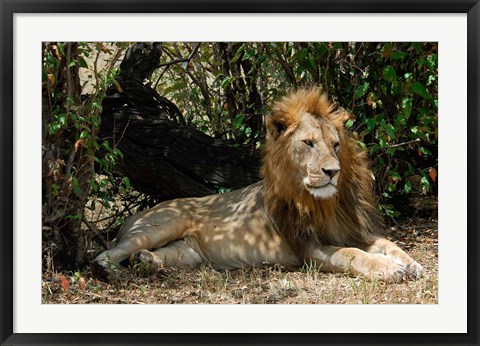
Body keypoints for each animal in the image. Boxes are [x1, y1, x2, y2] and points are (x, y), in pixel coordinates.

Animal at [93, 86, 424, 282]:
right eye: (308, 143)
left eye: (336, 144)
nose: (332, 171)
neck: (326, 204)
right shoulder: (308, 247)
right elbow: (351, 254)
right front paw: (388, 268)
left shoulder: (355, 230)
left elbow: (388, 244)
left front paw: (411, 264)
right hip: (161, 224)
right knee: (115, 248)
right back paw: (106, 267)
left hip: (187, 253)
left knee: (155, 255)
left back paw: (145, 261)